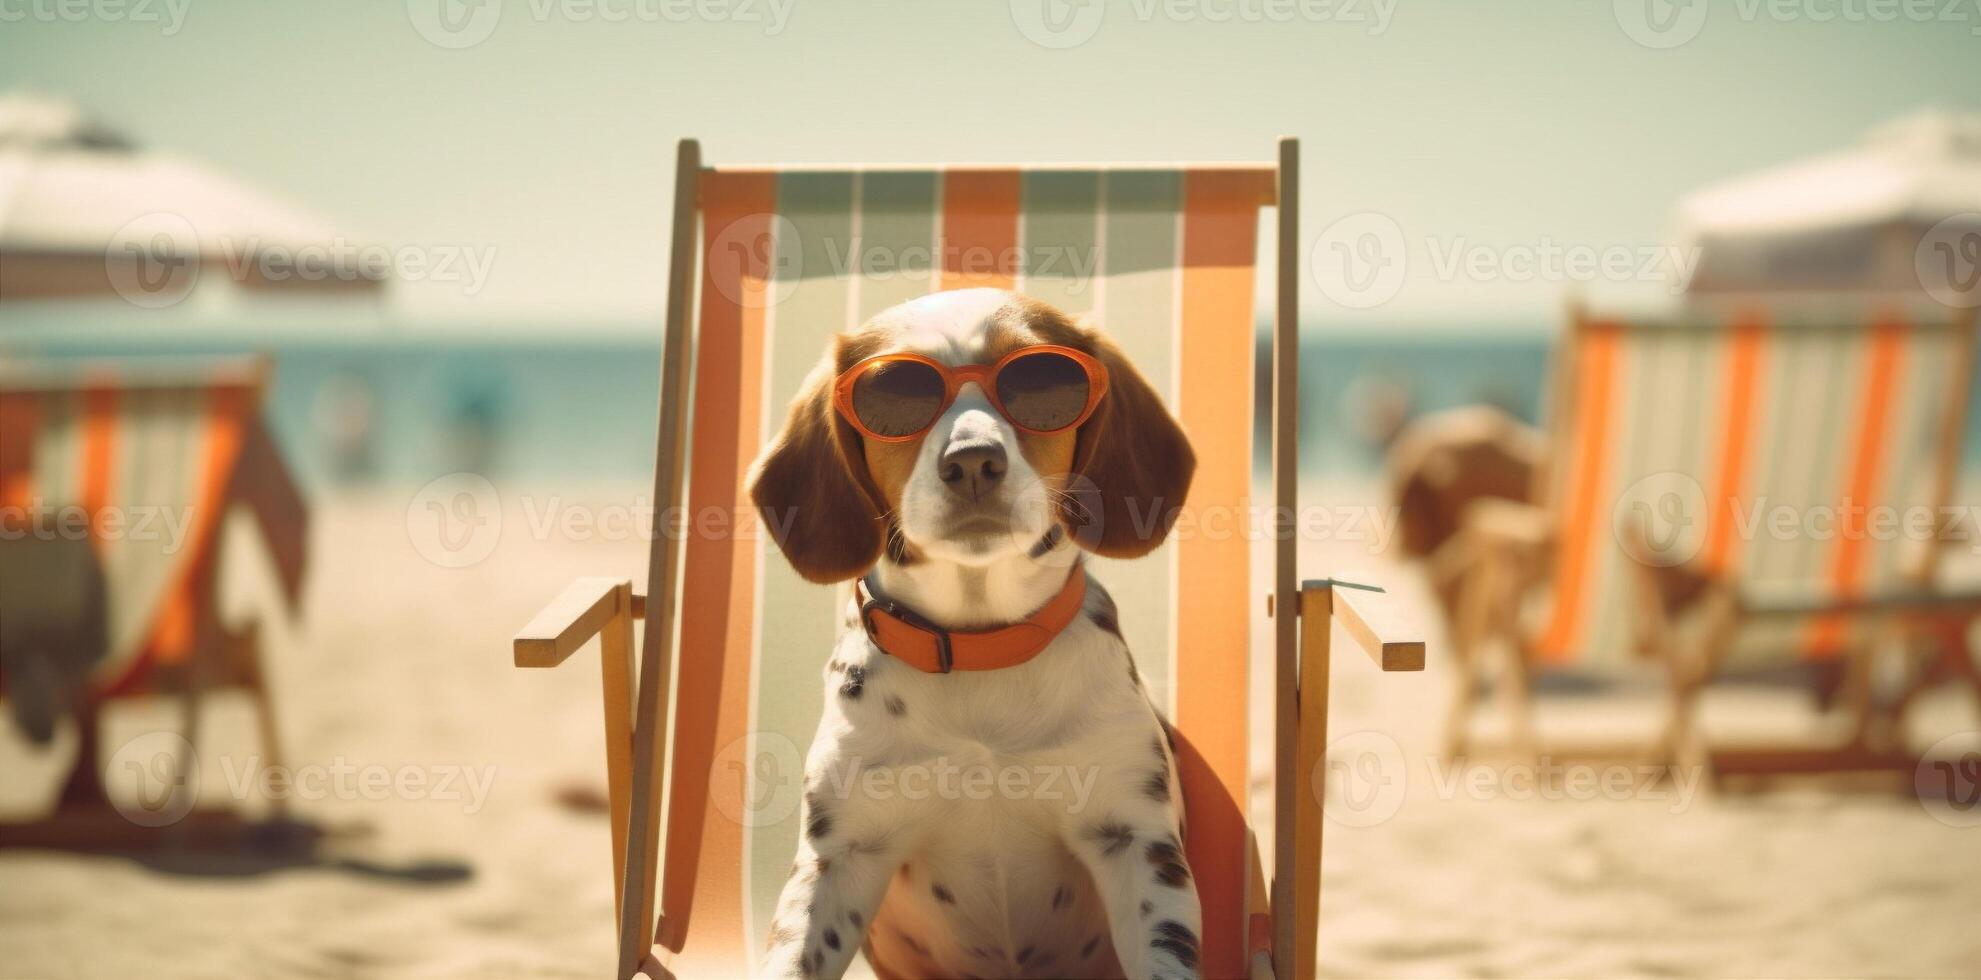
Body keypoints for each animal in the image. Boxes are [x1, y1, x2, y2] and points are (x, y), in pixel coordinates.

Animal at [744, 287, 1196, 978]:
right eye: (893, 392)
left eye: (1040, 380)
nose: (974, 460)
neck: (979, 649)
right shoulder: (838, 854)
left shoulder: (1134, 838)